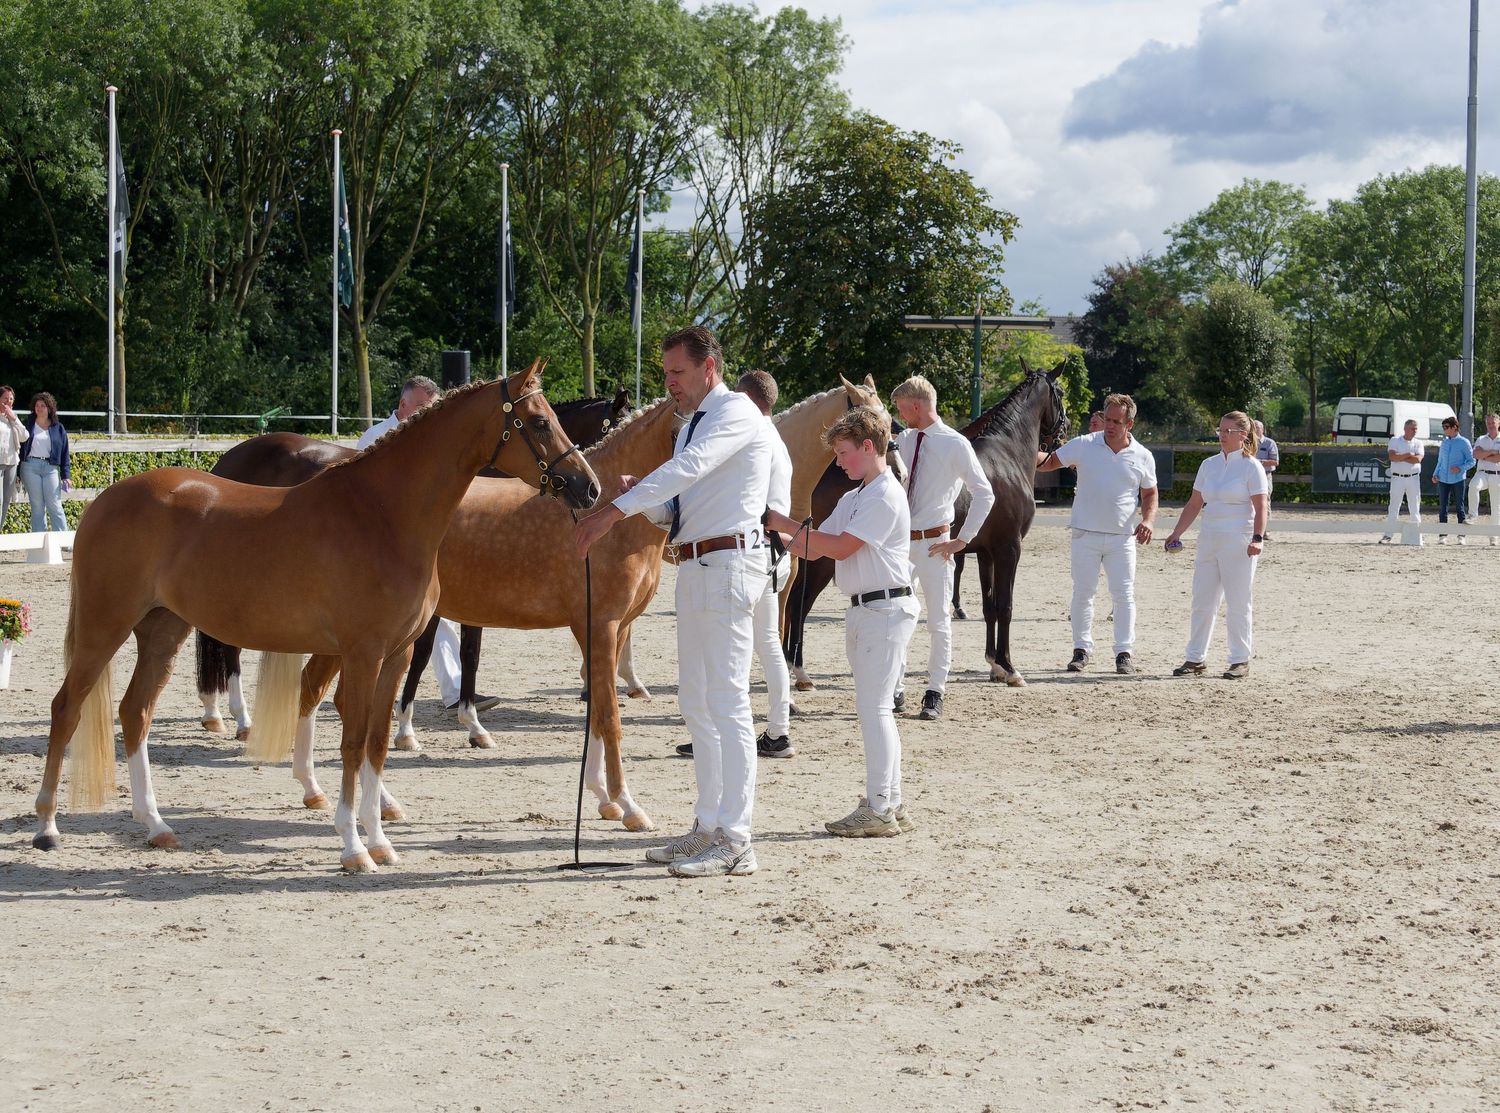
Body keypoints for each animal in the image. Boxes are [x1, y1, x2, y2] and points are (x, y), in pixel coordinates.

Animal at [195, 389, 632, 741]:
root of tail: (228, 458)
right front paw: (414, 727)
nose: (591, 488)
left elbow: (464, 653)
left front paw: (469, 720)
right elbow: (429, 654)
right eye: (542, 424)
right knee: (228, 644)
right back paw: (240, 718)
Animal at [781, 365, 1067, 689]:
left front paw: (994, 664)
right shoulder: (1009, 548)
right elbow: (1005, 606)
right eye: (1060, 393)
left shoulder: (986, 552)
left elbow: (990, 606)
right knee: (799, 603)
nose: (1064, 432)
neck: (1006, 457)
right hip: (824, 561)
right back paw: (798, 671)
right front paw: (1010, 668)